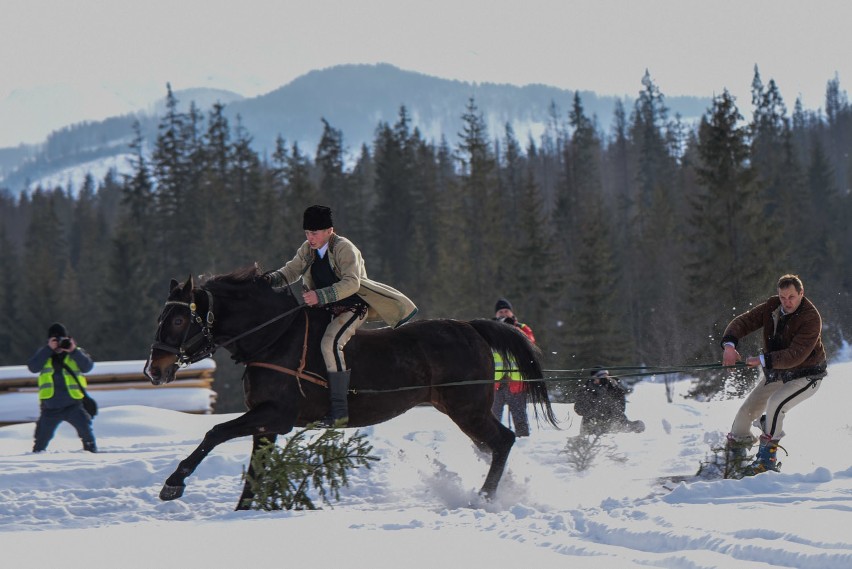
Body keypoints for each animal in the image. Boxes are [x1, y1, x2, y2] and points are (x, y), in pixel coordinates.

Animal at [145, 264, 560, 508]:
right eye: (162, 316)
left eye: (179, 319)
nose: (154, 370)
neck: (273, 338)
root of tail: (471, 327)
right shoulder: (266, 425)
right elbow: (254, 472)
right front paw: (243, 510)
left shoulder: (276, 415)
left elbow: (215, 432)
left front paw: (173, 483)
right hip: (461, 409)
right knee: (492, 446)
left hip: (467, 408)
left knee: (503, 440)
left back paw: (484, 498)